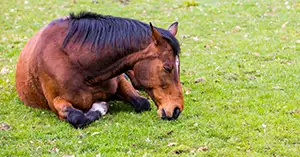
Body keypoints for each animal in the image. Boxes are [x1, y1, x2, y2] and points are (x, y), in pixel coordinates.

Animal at [15, 11, 185, 128]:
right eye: (167, 67)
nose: (177, 110)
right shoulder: (56, 102)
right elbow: (79, 117)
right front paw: (100, 107)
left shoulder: (121, 81)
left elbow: (142, 103)